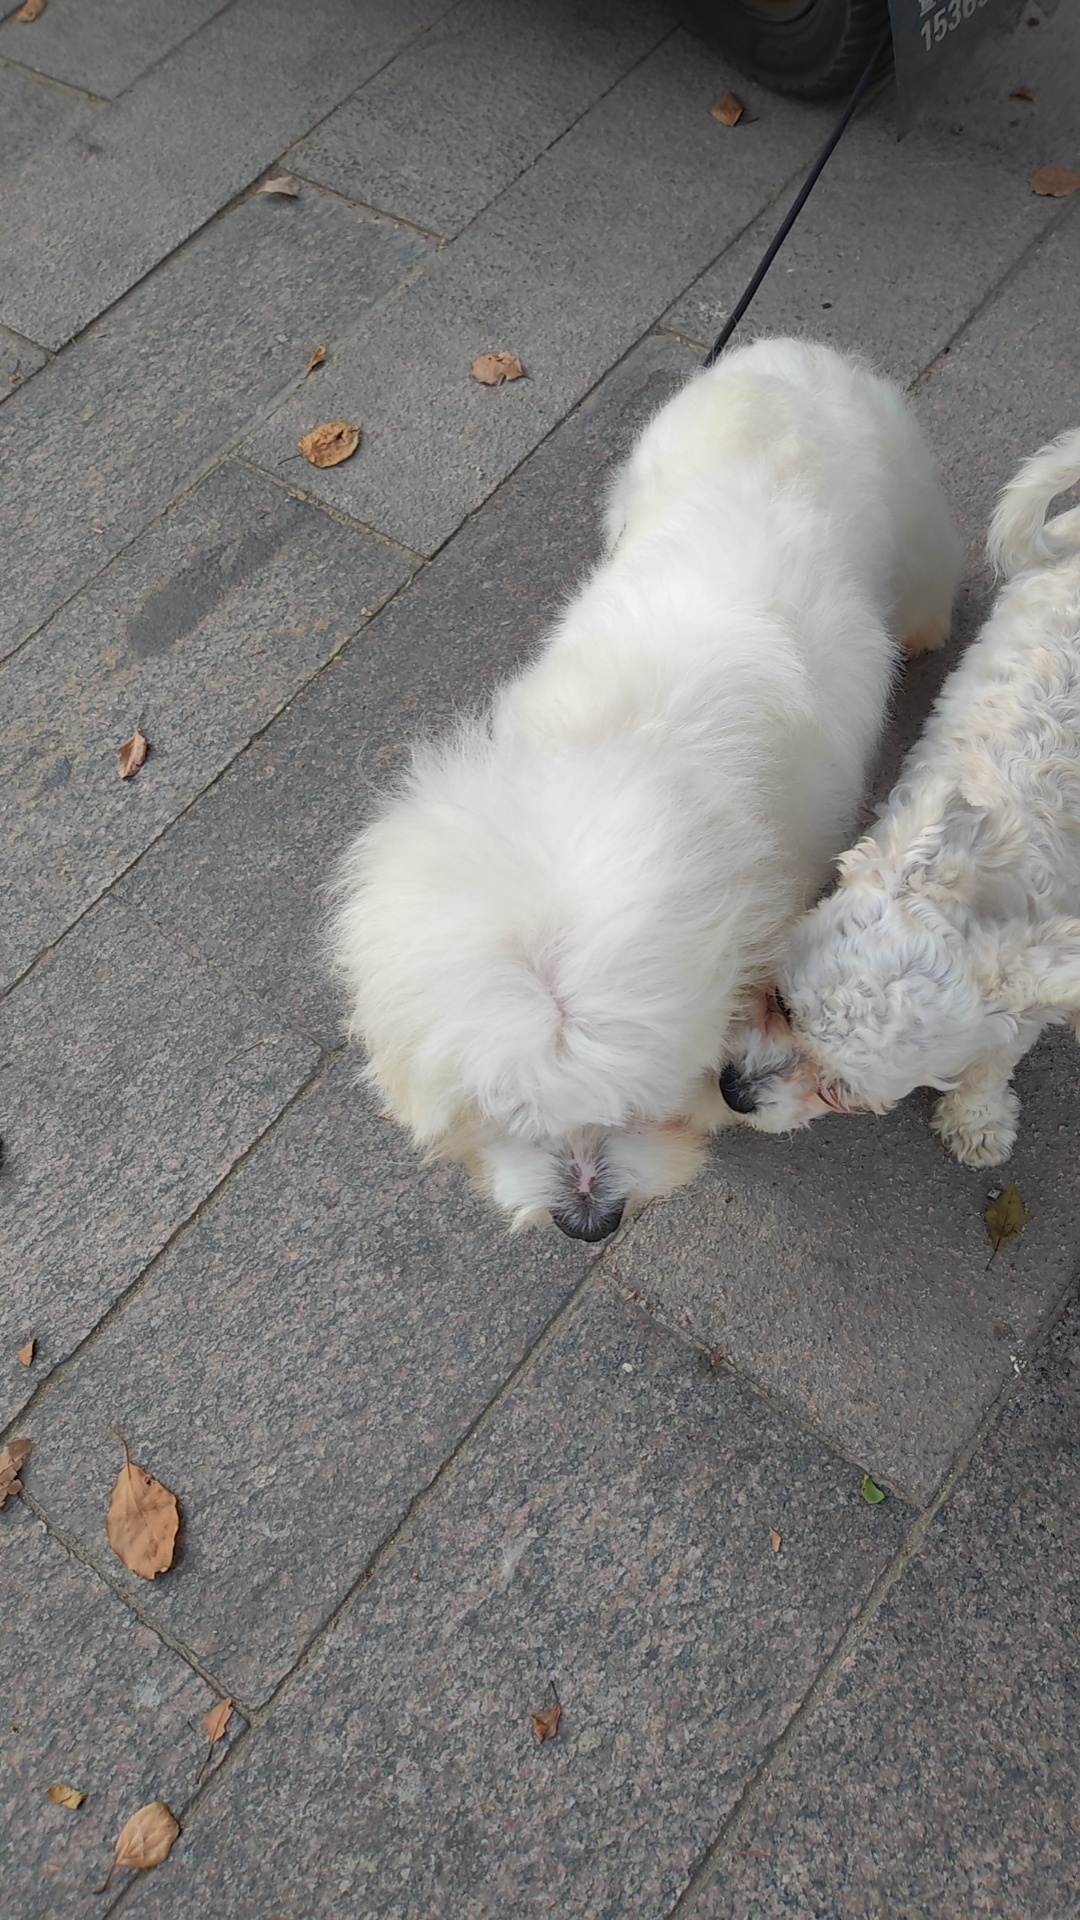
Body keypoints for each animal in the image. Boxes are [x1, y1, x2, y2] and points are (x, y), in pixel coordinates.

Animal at [331, 339, 962, 1235]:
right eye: (510, 1114)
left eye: (632, 1104)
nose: (587, 1223)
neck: (620, 752)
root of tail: (786, 350)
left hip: (911, 513)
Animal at [719, 425, 1080, 1169]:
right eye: (781, 1003)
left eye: (842, 1093)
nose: (734, 1092)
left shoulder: (1038, 975)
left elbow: (999, 1050)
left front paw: (977, 1114)